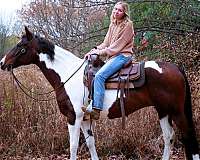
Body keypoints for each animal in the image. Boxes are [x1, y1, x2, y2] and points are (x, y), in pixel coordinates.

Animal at [0, 26, 198, 159]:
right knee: (169, 137)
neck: (67, 74)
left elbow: (73, 146)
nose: (2, 63)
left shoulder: (73, 117)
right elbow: (90, 143)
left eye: (21, 46)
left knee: (188, 136)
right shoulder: (85, 119)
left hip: (177, 112)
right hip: (163, 111)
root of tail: (176, 68)